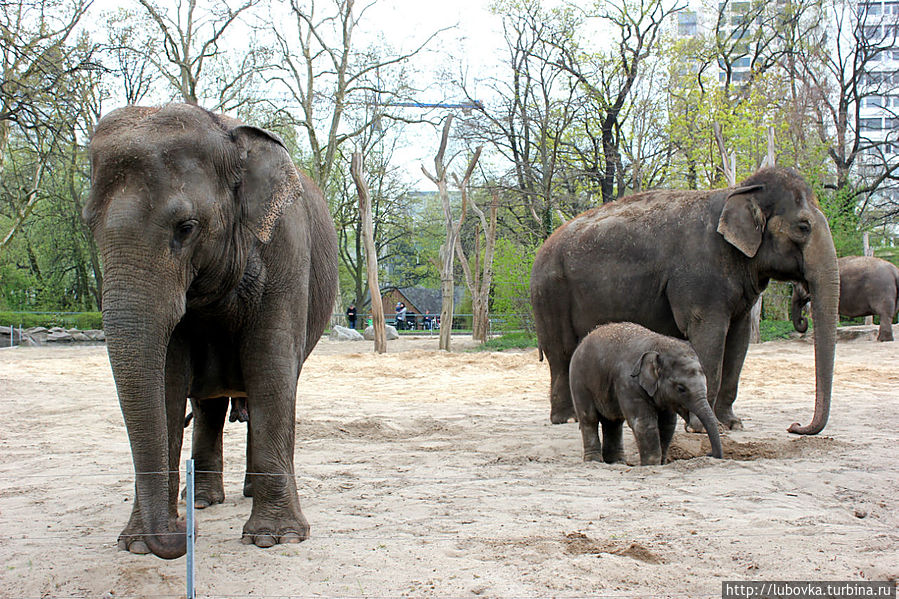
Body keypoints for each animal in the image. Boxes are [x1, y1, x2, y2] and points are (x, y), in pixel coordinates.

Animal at [83, 103, 338, 556]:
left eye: (186, 227)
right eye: (88, 224)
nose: (183, 532)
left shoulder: (287, 246)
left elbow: (270, 366)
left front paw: (275, 538)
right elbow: (167, 379)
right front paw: (137, 543)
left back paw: (242, 496)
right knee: (207, 405)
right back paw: (202, 500)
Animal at [532, 169, 840, 436]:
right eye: (803, 227)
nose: (794, 426)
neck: (739, 191)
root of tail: (543, 246)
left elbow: (738, 341)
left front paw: (732, 424)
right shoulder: (700, 278)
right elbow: (709, 338)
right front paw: (701, 427)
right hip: (550, 293)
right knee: (562, 353)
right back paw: (567, 419)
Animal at [572, 324, 728, 468]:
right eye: (681, 388)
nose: (709, 454)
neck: (660, 346)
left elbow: (667, 423)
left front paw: (661, 463)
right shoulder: (628, 383)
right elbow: (643, 422)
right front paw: (651, 465)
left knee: (613, 422)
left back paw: (617, 462)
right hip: (579, 383)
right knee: (589, 418)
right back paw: (594, 461)